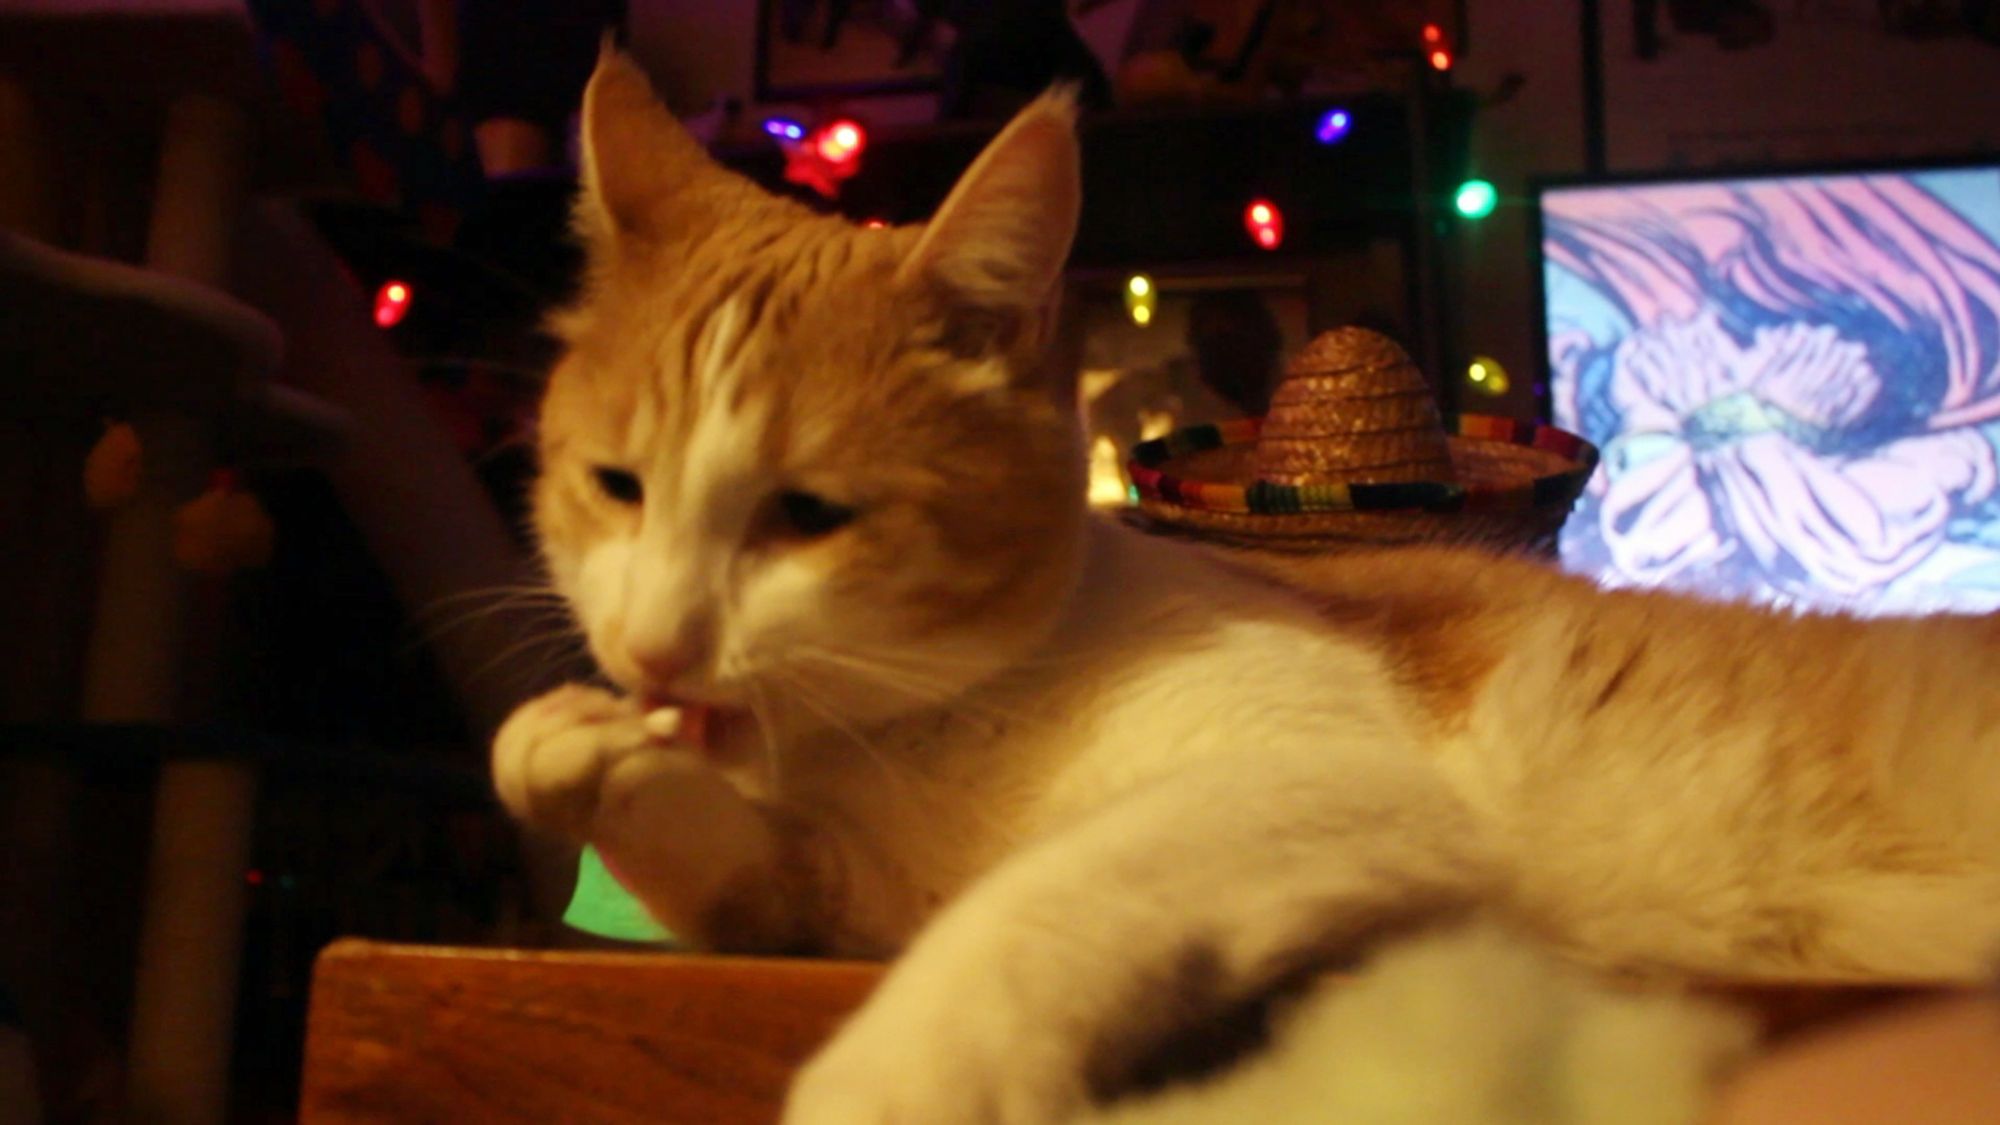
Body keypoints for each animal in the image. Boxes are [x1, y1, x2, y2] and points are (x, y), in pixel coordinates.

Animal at [496, 48, 2000, 1112]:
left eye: (808, 516)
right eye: (617, 486)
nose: (654, 652)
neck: (909, 735)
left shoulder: (1330, 779)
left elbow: (1035, 903)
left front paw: (891, 1078)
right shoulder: (840, 895)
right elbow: (741, 877)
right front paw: (574, 749)